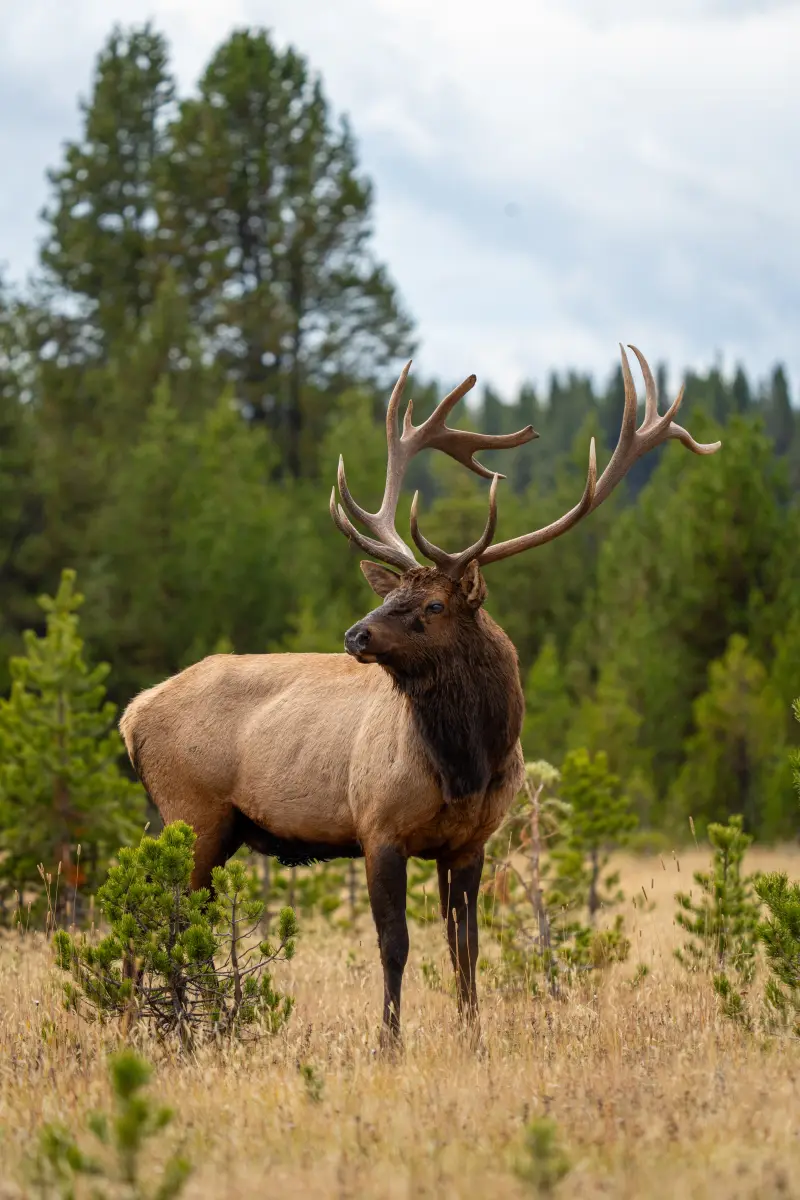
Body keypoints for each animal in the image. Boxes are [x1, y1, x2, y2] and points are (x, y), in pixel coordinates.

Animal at [120, 345, 720, 1045]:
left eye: (433, 605)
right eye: (392, 595)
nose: (355, 633)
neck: (466, 765)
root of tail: (131, 716)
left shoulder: (471, 841)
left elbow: (467, 945)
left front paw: (473, 1033)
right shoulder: (379, 826)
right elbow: (395, 944)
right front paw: (388, 1040)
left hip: (219, 828)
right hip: (191, 812)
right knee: (150, 916)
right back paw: (146, 1028)